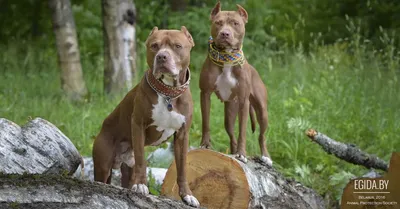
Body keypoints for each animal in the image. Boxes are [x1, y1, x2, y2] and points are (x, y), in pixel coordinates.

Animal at [93, 26, 200, 207]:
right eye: (154, 46)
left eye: (177, 46)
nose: (162, 56)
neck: (168, 93)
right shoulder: (138, 125)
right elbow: (142, 160)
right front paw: (141, 185)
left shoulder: (182, 134)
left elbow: (182, 168)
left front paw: (187, 195)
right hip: (103, 164)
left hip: (126, 168)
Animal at [199, 1, 272, 165]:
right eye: (218, 23)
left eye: (235, 23)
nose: (225, 33)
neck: (226, 57)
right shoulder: (205, 94)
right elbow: (206, 123)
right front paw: (205, 145)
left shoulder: (244, 101)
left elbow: (243, 132)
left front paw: (242, 154)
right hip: (230, 112)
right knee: (231, 135)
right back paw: (232, 153)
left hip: (261, 111)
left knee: (262, 135)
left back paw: (265, 156)